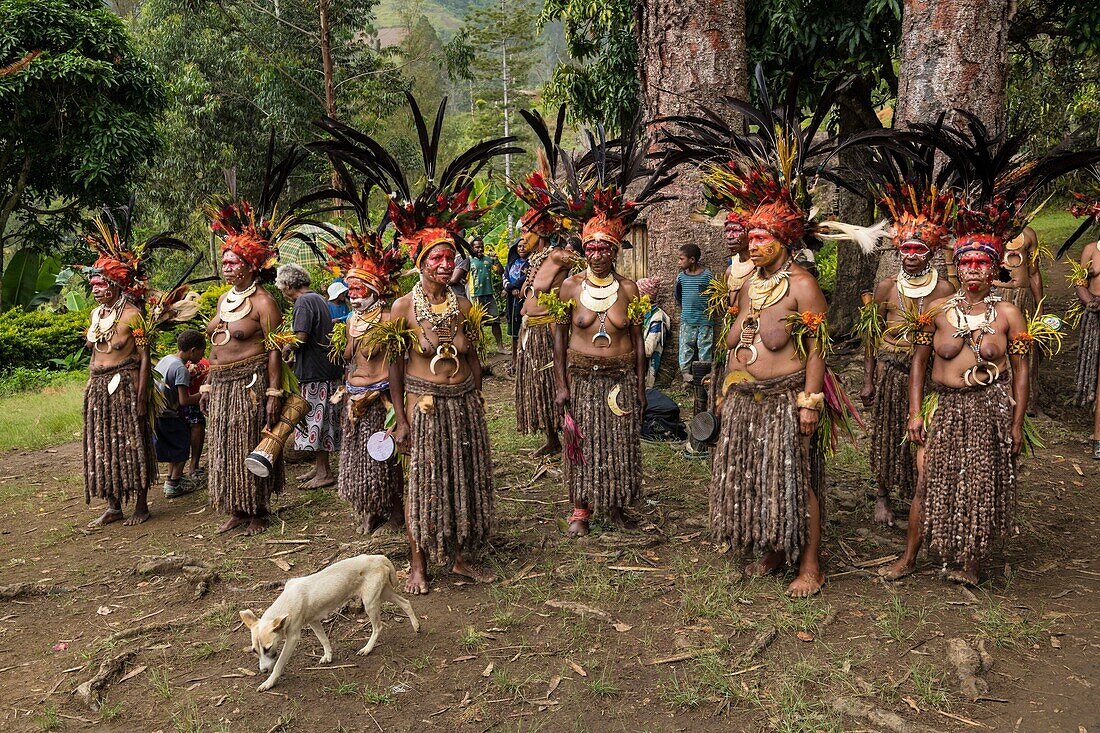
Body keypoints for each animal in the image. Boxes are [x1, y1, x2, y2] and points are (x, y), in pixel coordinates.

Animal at [238, 550, 418, 686]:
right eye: (254, 650)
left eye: (268, 648)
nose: (263, 671)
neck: (287, 602)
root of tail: (377, 557)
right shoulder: (313, 621)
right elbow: (324, 640)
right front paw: (328, 656)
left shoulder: (293, 637)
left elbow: (279, 663)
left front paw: (269, 682)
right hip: (383, 594)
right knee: (406, 603)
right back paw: (416, 626)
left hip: (370, 602)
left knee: (378, 627)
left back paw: (367, 648)